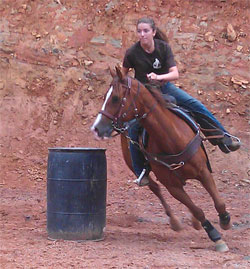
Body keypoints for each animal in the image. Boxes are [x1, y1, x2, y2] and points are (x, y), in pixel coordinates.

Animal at [91, 66, 231, 250]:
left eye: (115, 98)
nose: (97, 128)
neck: (171, 138)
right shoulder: (172, 187)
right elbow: (197, 209)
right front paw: (216, 236)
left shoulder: (203, 172)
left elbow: (219, 202)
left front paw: (225, 220)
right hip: (135, 166)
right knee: (155, 187)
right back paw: (175, 221)